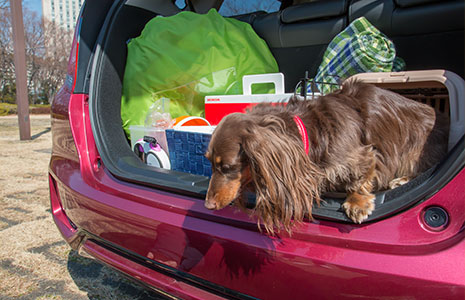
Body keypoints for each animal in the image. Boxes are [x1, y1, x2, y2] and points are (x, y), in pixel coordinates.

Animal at [203, 81, 446, 234]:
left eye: (227, 167)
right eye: (209, 162)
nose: (207, 206)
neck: (307, 132)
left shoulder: (363, 155)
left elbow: (359, 176)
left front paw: (357, 202)